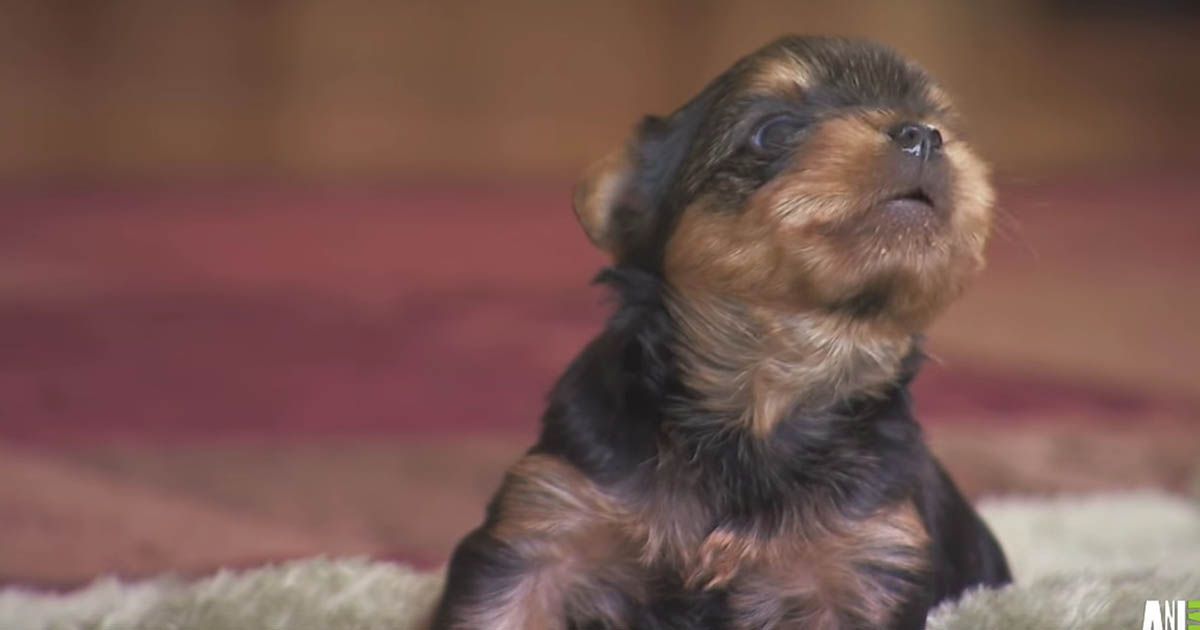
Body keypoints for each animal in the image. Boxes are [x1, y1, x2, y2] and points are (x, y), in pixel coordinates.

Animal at [432, 35, 1012, 628]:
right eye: (773, 130)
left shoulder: (868, 561)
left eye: (941, 124)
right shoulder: (544, 525)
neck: (765, 394)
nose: (922, 136)